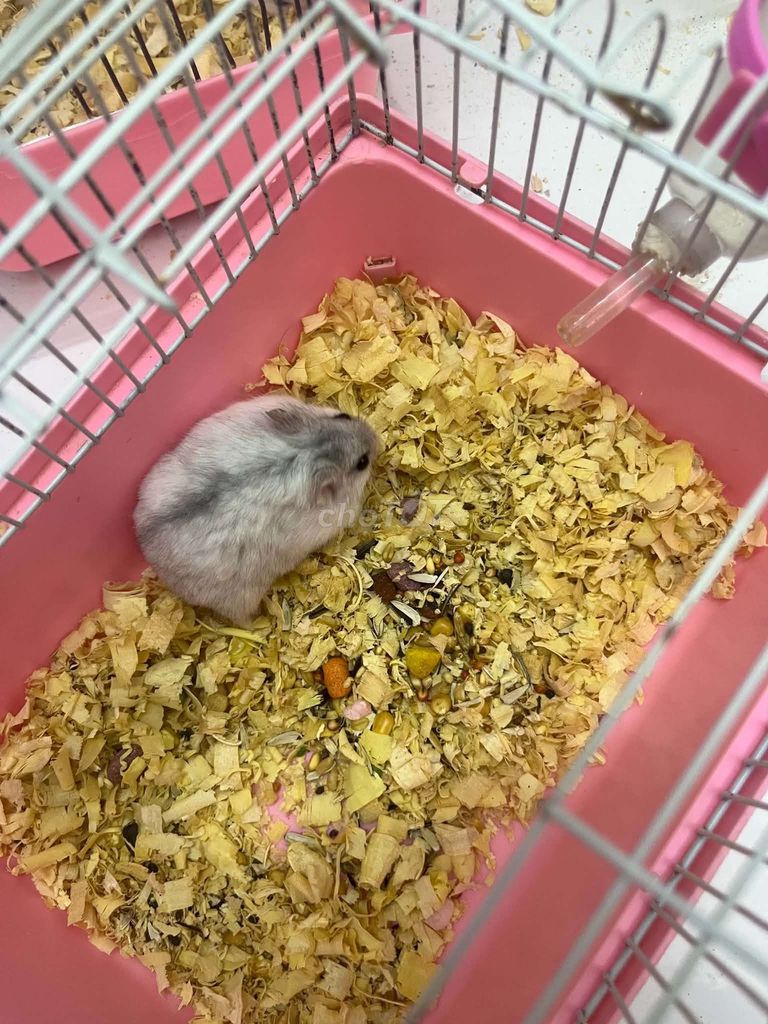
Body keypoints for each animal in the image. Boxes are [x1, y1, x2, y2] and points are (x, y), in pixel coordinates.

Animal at [133, 393, 379, 625]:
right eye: (362, 462)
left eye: (343, 416)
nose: (377, 437)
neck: (307, 454)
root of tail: (150, 552)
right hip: (240, 598)